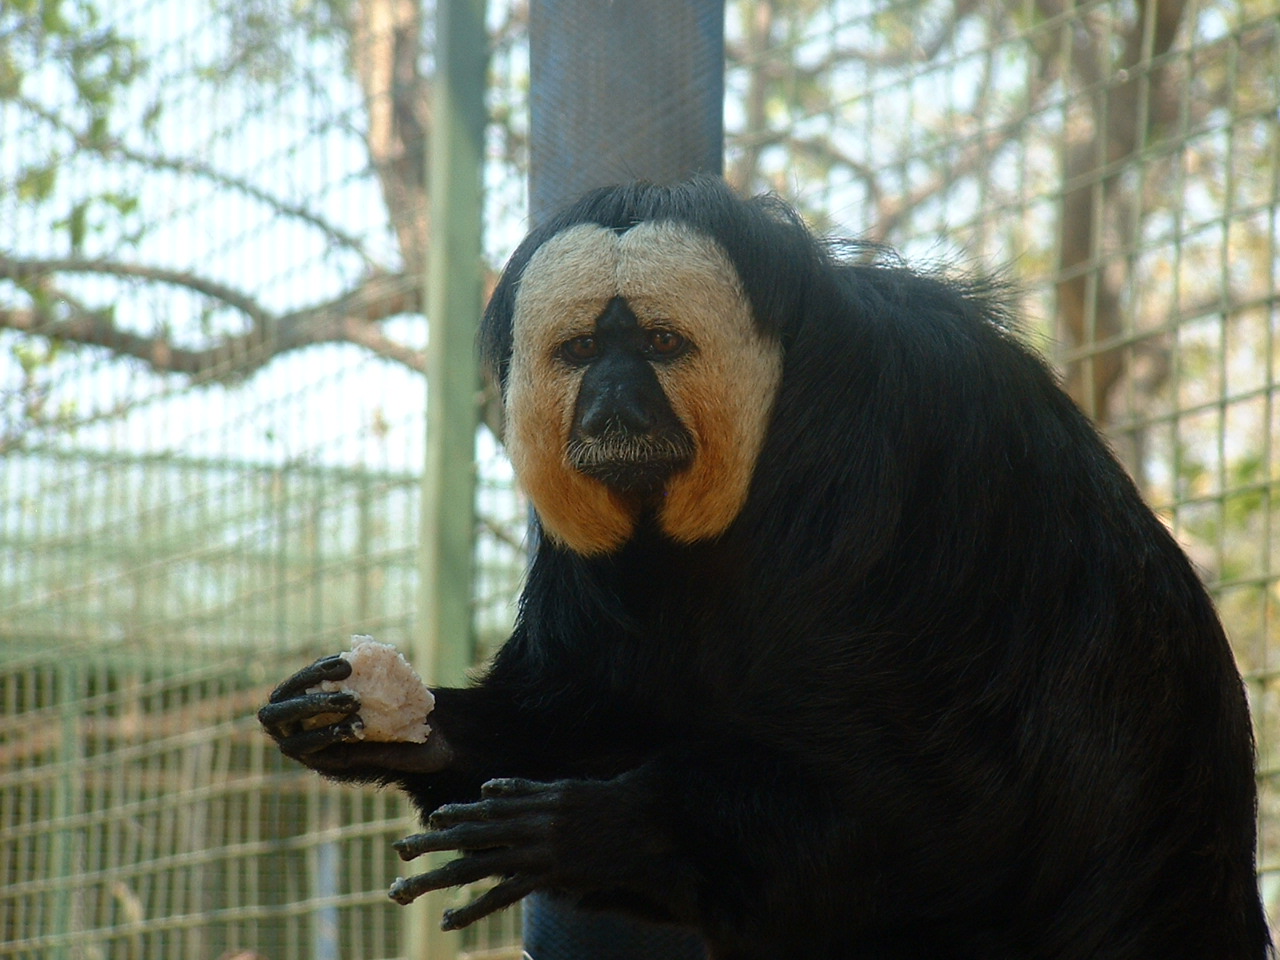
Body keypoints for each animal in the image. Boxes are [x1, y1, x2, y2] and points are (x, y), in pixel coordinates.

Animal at [259, 176, 1272, 960]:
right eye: (582, 352)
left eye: (659, 345)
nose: (614, 404)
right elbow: (595, 704)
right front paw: (402, 728)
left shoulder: (880, 463)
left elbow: (946, 806)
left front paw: (608, 833)